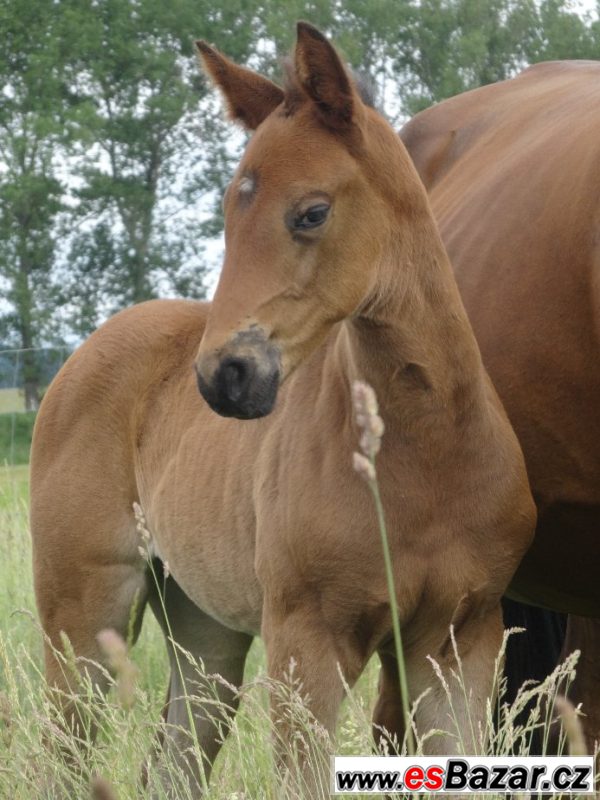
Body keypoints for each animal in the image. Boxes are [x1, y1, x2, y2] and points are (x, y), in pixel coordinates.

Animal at [29, 21, 536, 796]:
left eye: (312, 212)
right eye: (226, 214)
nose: (225, 377)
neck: (426, 449)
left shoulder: (460, 640)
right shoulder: (308, 643)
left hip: (204, 631)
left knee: (173, 761)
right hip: (83, 616)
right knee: (63, 753)